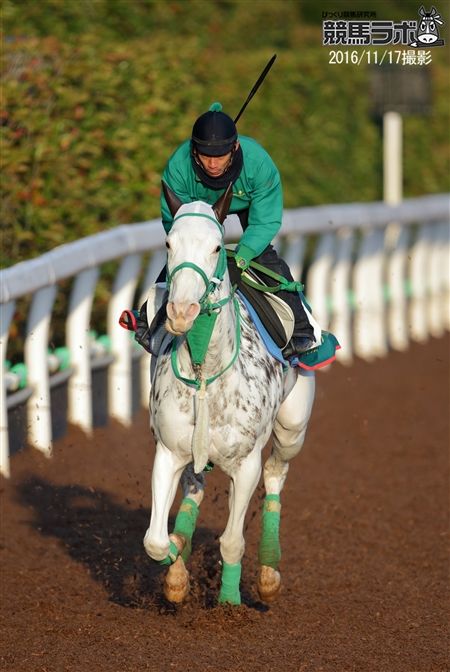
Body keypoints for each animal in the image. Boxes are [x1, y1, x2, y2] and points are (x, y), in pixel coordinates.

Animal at [143, 182, 315, 605]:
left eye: (216, 247)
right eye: (169, 243)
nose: (182, 311)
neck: (206, 373)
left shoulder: (245, 463)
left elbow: (232, 541)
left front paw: (229, 602)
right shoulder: (168, 451)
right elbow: (156, 540)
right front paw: (176, 569)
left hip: (292, 428)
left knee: (276, 474)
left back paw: (269, 570)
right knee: (195, 486)